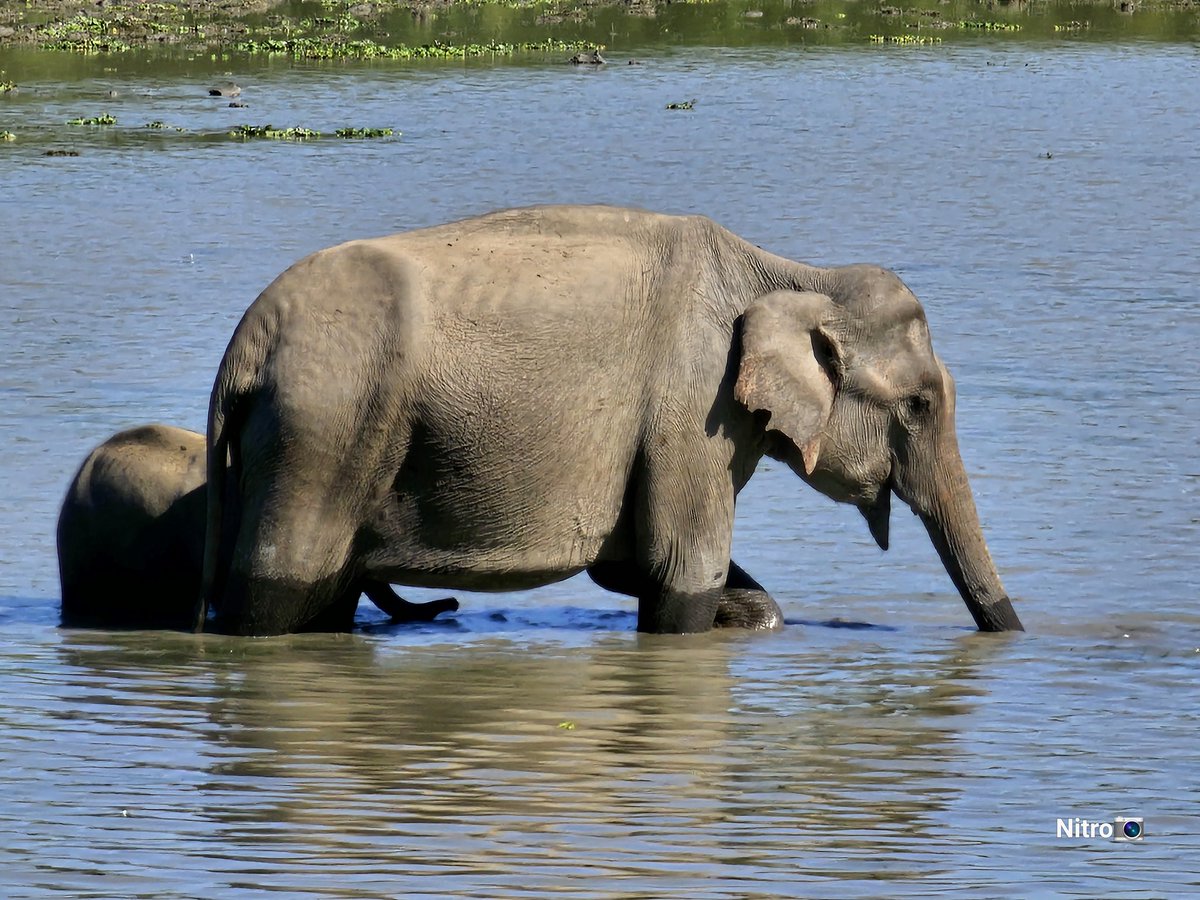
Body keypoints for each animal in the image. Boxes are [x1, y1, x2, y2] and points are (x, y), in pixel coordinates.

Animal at [201, 207, 1027, 638]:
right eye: (919, 404)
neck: (790, 273)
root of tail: (245, 345)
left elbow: (629, 562)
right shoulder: (694, 408)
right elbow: (680, 567)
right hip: (323, 430)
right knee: (281, 587)